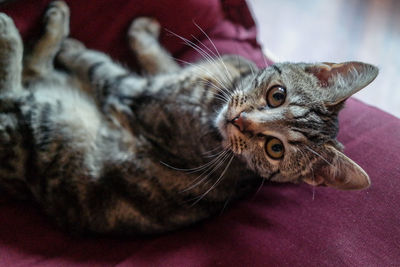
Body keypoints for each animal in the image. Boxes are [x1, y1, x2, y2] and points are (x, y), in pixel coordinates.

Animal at [0, 1, 378, 237]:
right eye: (277, 95)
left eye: (274, 149)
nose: (240, 121)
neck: (219, 96)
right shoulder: (177, 76)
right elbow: (161, 60)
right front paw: (144, 33)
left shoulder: (136, 92)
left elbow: (100, 67)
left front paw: (75, 50)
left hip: (39, 125)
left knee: (16, 88)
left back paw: (25, 32)